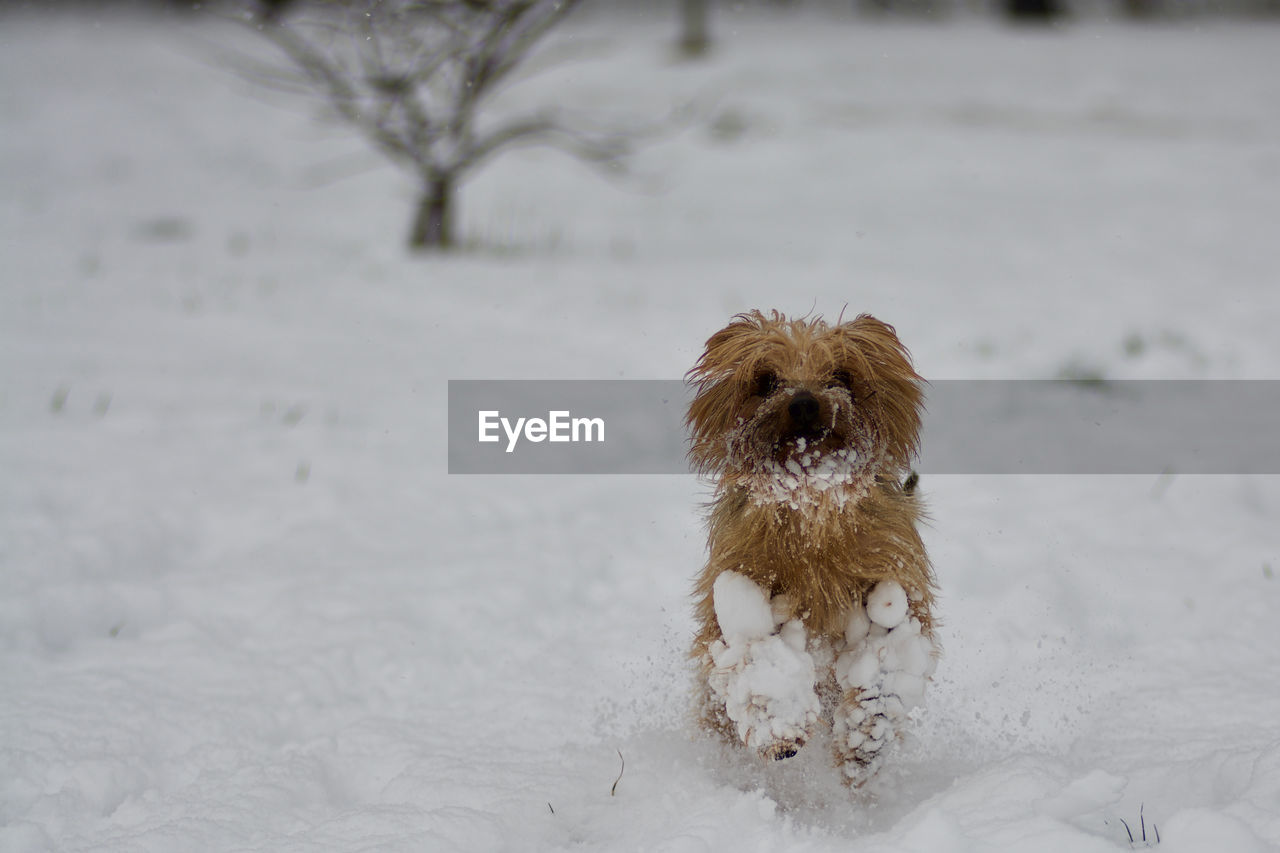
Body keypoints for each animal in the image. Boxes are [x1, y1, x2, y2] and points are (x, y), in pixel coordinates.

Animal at [691, 307, 942, 783]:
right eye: (766, 380)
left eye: (842, 375)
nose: (804, 402)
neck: (812, 506)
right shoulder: (736, 580)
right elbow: (750, 654)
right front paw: (779, 726)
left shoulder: (895, 578)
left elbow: (885, 660)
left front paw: (865, 737)